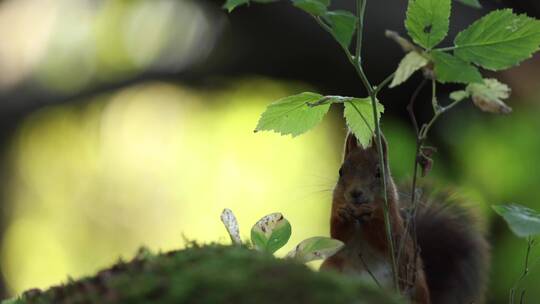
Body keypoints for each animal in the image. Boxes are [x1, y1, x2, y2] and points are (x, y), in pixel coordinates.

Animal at [322, 133, 492, 304]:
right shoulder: (336, 205)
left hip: (415, 287)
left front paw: (369, 214)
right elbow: (338, 236)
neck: (357, 219)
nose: (355, 193)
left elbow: (384, 236)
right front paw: (343, 214)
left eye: (378, 173)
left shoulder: (393, 222)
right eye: (341, 171)